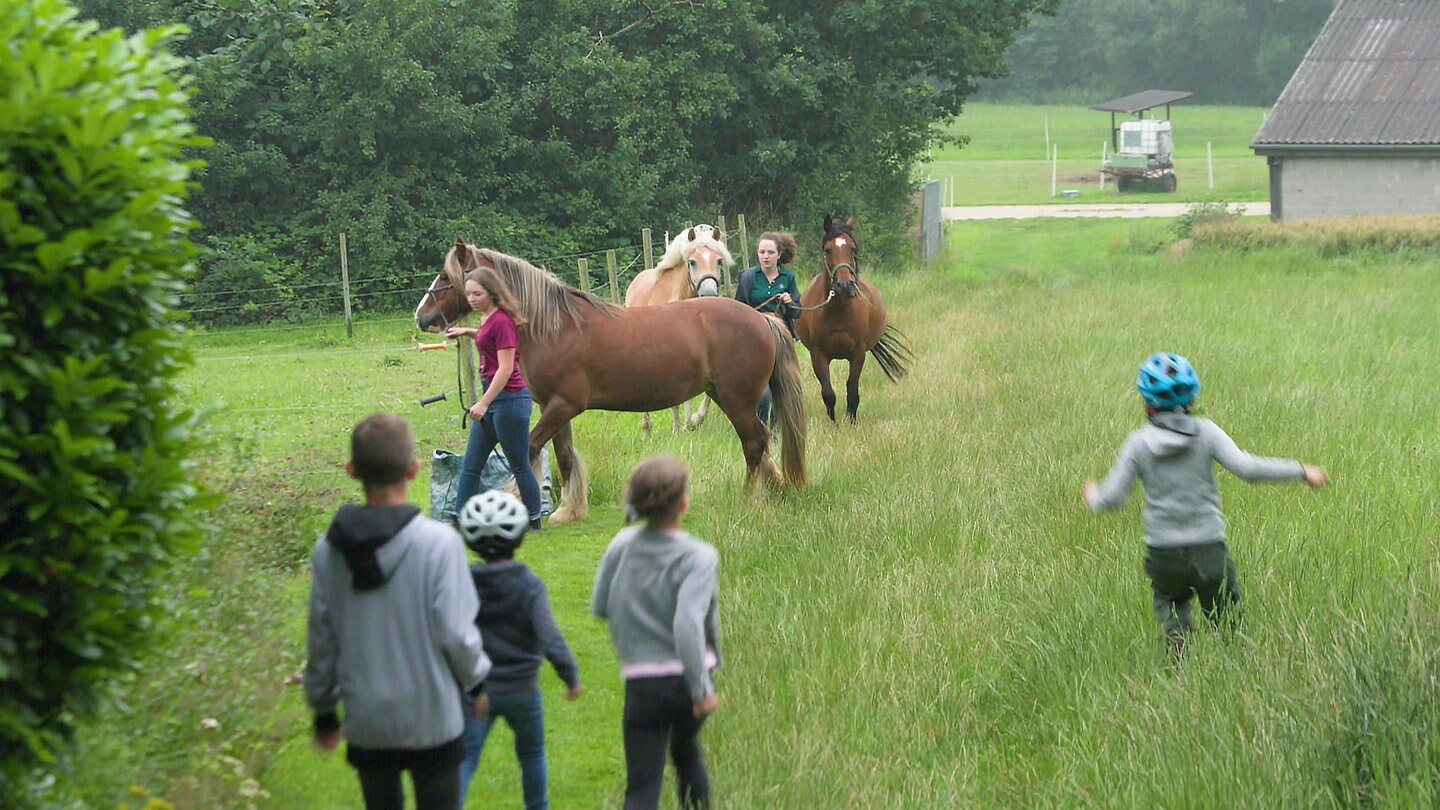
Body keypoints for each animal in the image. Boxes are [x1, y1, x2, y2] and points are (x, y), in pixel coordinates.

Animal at [622, 223, 737, 432]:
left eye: (718, 260)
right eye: (692, 262)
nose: (709, 294)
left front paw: (694, 419)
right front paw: (677, 429)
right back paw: (647, 429)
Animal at [789, 213, 910, 423]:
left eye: (852, 248)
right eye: (827, 250)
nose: (845, 285)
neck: (838, 310)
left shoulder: (858, 353)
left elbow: (852, 390)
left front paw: (851, 422)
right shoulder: (818, 355)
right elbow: (828, 393)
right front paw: (834, 424)